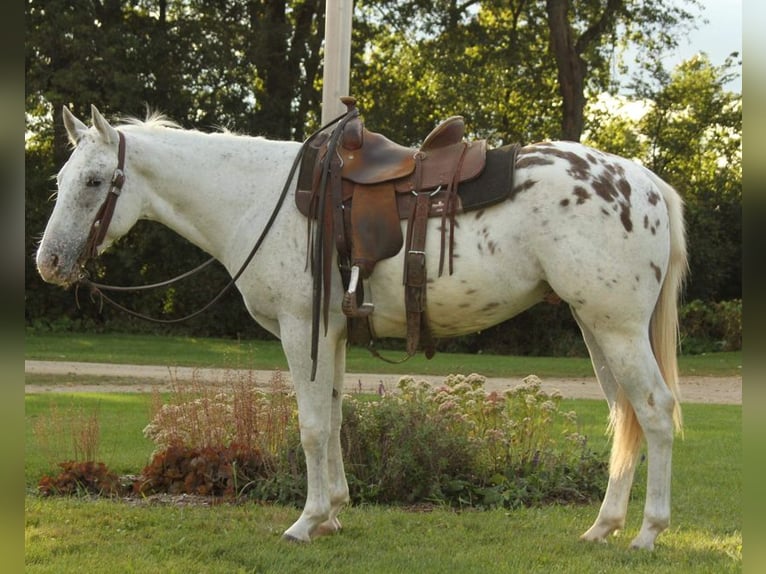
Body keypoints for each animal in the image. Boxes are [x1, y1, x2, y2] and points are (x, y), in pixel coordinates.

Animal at [36, 106, 688, 552]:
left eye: (94, 182)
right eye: (61, 180)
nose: (50, 262)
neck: (259, 200)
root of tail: (646, 182)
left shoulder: (301, 328)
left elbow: (310, 426)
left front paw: (304, 522)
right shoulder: (333, 333)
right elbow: (334, 419)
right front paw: (334, 511)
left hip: (616, 327)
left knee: (654, 411)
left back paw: (648, 534)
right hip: (595, 326)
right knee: (624, 414)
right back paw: (602, 527)